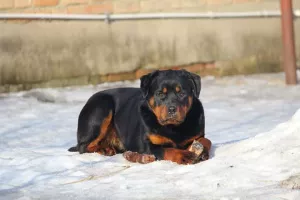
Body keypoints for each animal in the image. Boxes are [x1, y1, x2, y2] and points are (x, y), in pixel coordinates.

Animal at [69, 69, 212, 165]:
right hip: (102, 107)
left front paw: (203, 152)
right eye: (160, 93)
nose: (172, 109)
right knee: (83, 146)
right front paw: (184, 155)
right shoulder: (147, 146)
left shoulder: (198, 135)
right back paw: (105, 149)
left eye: (181, 93)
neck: (174, 128)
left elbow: (207, 141)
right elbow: (167, 150)